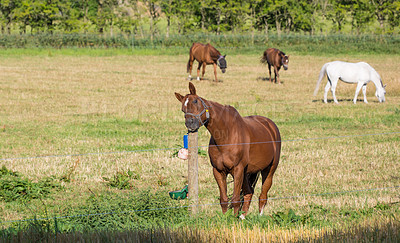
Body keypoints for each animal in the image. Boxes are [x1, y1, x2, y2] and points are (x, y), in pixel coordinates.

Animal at [175, 81, 282, 218]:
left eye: (195, 101)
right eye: (183, 109)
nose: (190, 123)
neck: (226, 136)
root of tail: (270, 126)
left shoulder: (238, 169)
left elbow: (235, 199)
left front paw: (233, 219)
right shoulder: (218, 171)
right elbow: (224, 199)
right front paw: (225, 218)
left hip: (269, 169)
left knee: (263, 195)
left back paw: (259, 217)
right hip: (247, 172)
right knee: (248, 192)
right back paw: (242, 217)